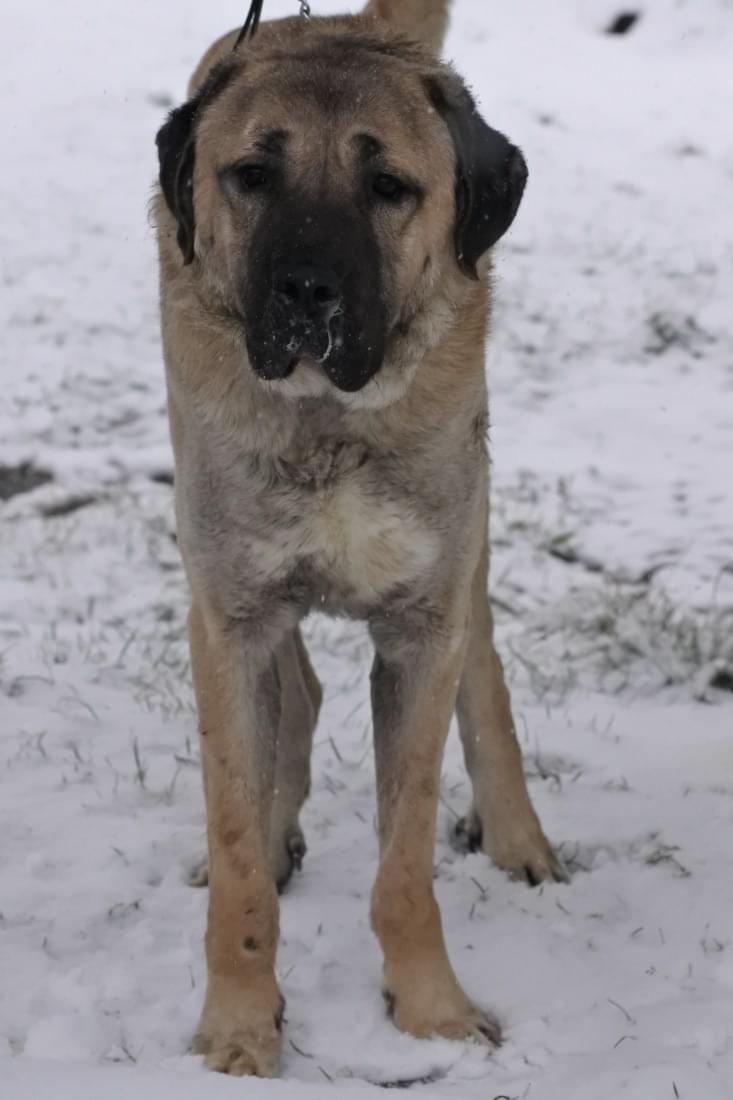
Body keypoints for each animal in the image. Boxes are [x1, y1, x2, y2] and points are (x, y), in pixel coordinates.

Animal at [154, 0, 566, 1078]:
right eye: (251, 174)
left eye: (388, 188)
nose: (307, 291)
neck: (327, 423)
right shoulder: (229, 612)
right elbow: (236, 847)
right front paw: (240, 1027)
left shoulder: (424, 620)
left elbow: (404, 859)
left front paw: (431, 1011)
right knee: (292, 695)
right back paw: (277, 826)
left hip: (467, 530)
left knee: (485, 669)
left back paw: (517, 835)